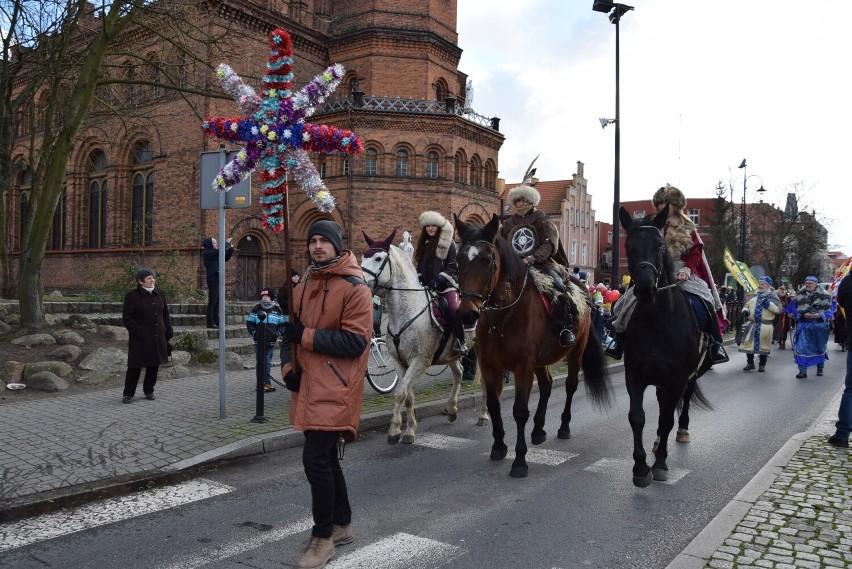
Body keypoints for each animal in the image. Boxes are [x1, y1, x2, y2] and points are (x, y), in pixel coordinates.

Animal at [362, 230, 490, 444]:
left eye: (378, 258)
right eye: (363, 257)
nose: (359, 280)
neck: (407, 310)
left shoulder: (420, 361)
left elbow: (400, 393)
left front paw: (394, 430)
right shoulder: (399, 361)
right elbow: (408, 396)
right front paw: (409, 430)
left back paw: (483, 415)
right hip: (450, 354)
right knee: (459, 373)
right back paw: (452, 409)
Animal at [452, 213, 612, 474]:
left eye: (487, 260)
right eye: (458, 259)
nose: (467, 314)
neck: (503, 318)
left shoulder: (522, 366)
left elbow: (519, 411)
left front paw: (519, 461)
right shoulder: (489, 365)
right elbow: (494, 404)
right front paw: (498, 447)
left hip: (575, 352)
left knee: (570, 386)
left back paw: (563, 427)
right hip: (542, 360)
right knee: (546, 386)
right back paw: (538, 431)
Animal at [620, 206, 712, 486]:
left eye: (659, 244)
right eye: (628, 246)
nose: (646, 287)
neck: (657, 324)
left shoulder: (678, 378)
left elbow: (667, 418)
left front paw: (660, 464)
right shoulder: (634, 376)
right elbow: (638, 418)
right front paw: (640, 468)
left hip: (689, 376)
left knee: (681, 405)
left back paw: (682, 432)